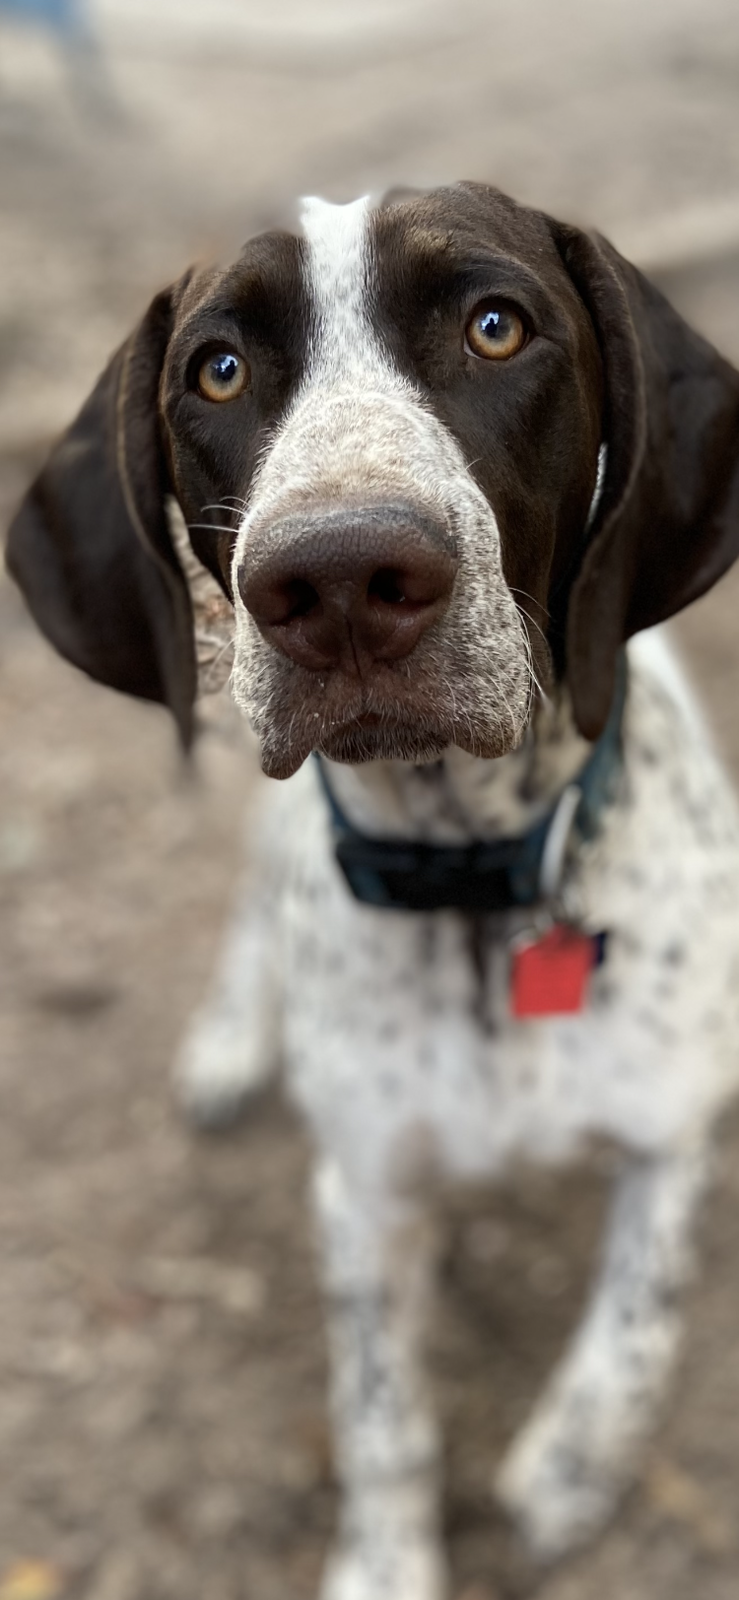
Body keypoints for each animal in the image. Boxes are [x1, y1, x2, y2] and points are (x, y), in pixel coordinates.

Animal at [7, 184, 739, 1600]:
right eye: (217, 371)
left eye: (497, 326)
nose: (337, 577)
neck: (477, 884)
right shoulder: (361, 1199)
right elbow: (382, 1415)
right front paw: (390, 1565)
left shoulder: (675, 1129)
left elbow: (637, 1316)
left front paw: (568, 1468)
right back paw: (233, 1037)